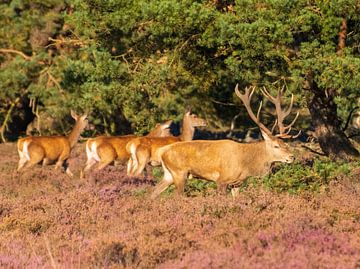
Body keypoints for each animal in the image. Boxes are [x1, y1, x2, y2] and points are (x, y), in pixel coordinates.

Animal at [150, 85, 300, 198]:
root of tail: (162, 152)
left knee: (152, 193)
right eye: (276, 146)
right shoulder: (222, 180)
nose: (292, 157)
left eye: (286, 144)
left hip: (168, 174)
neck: (246, 164)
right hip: (179, 173)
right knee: (177, 196)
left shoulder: (237, 183)